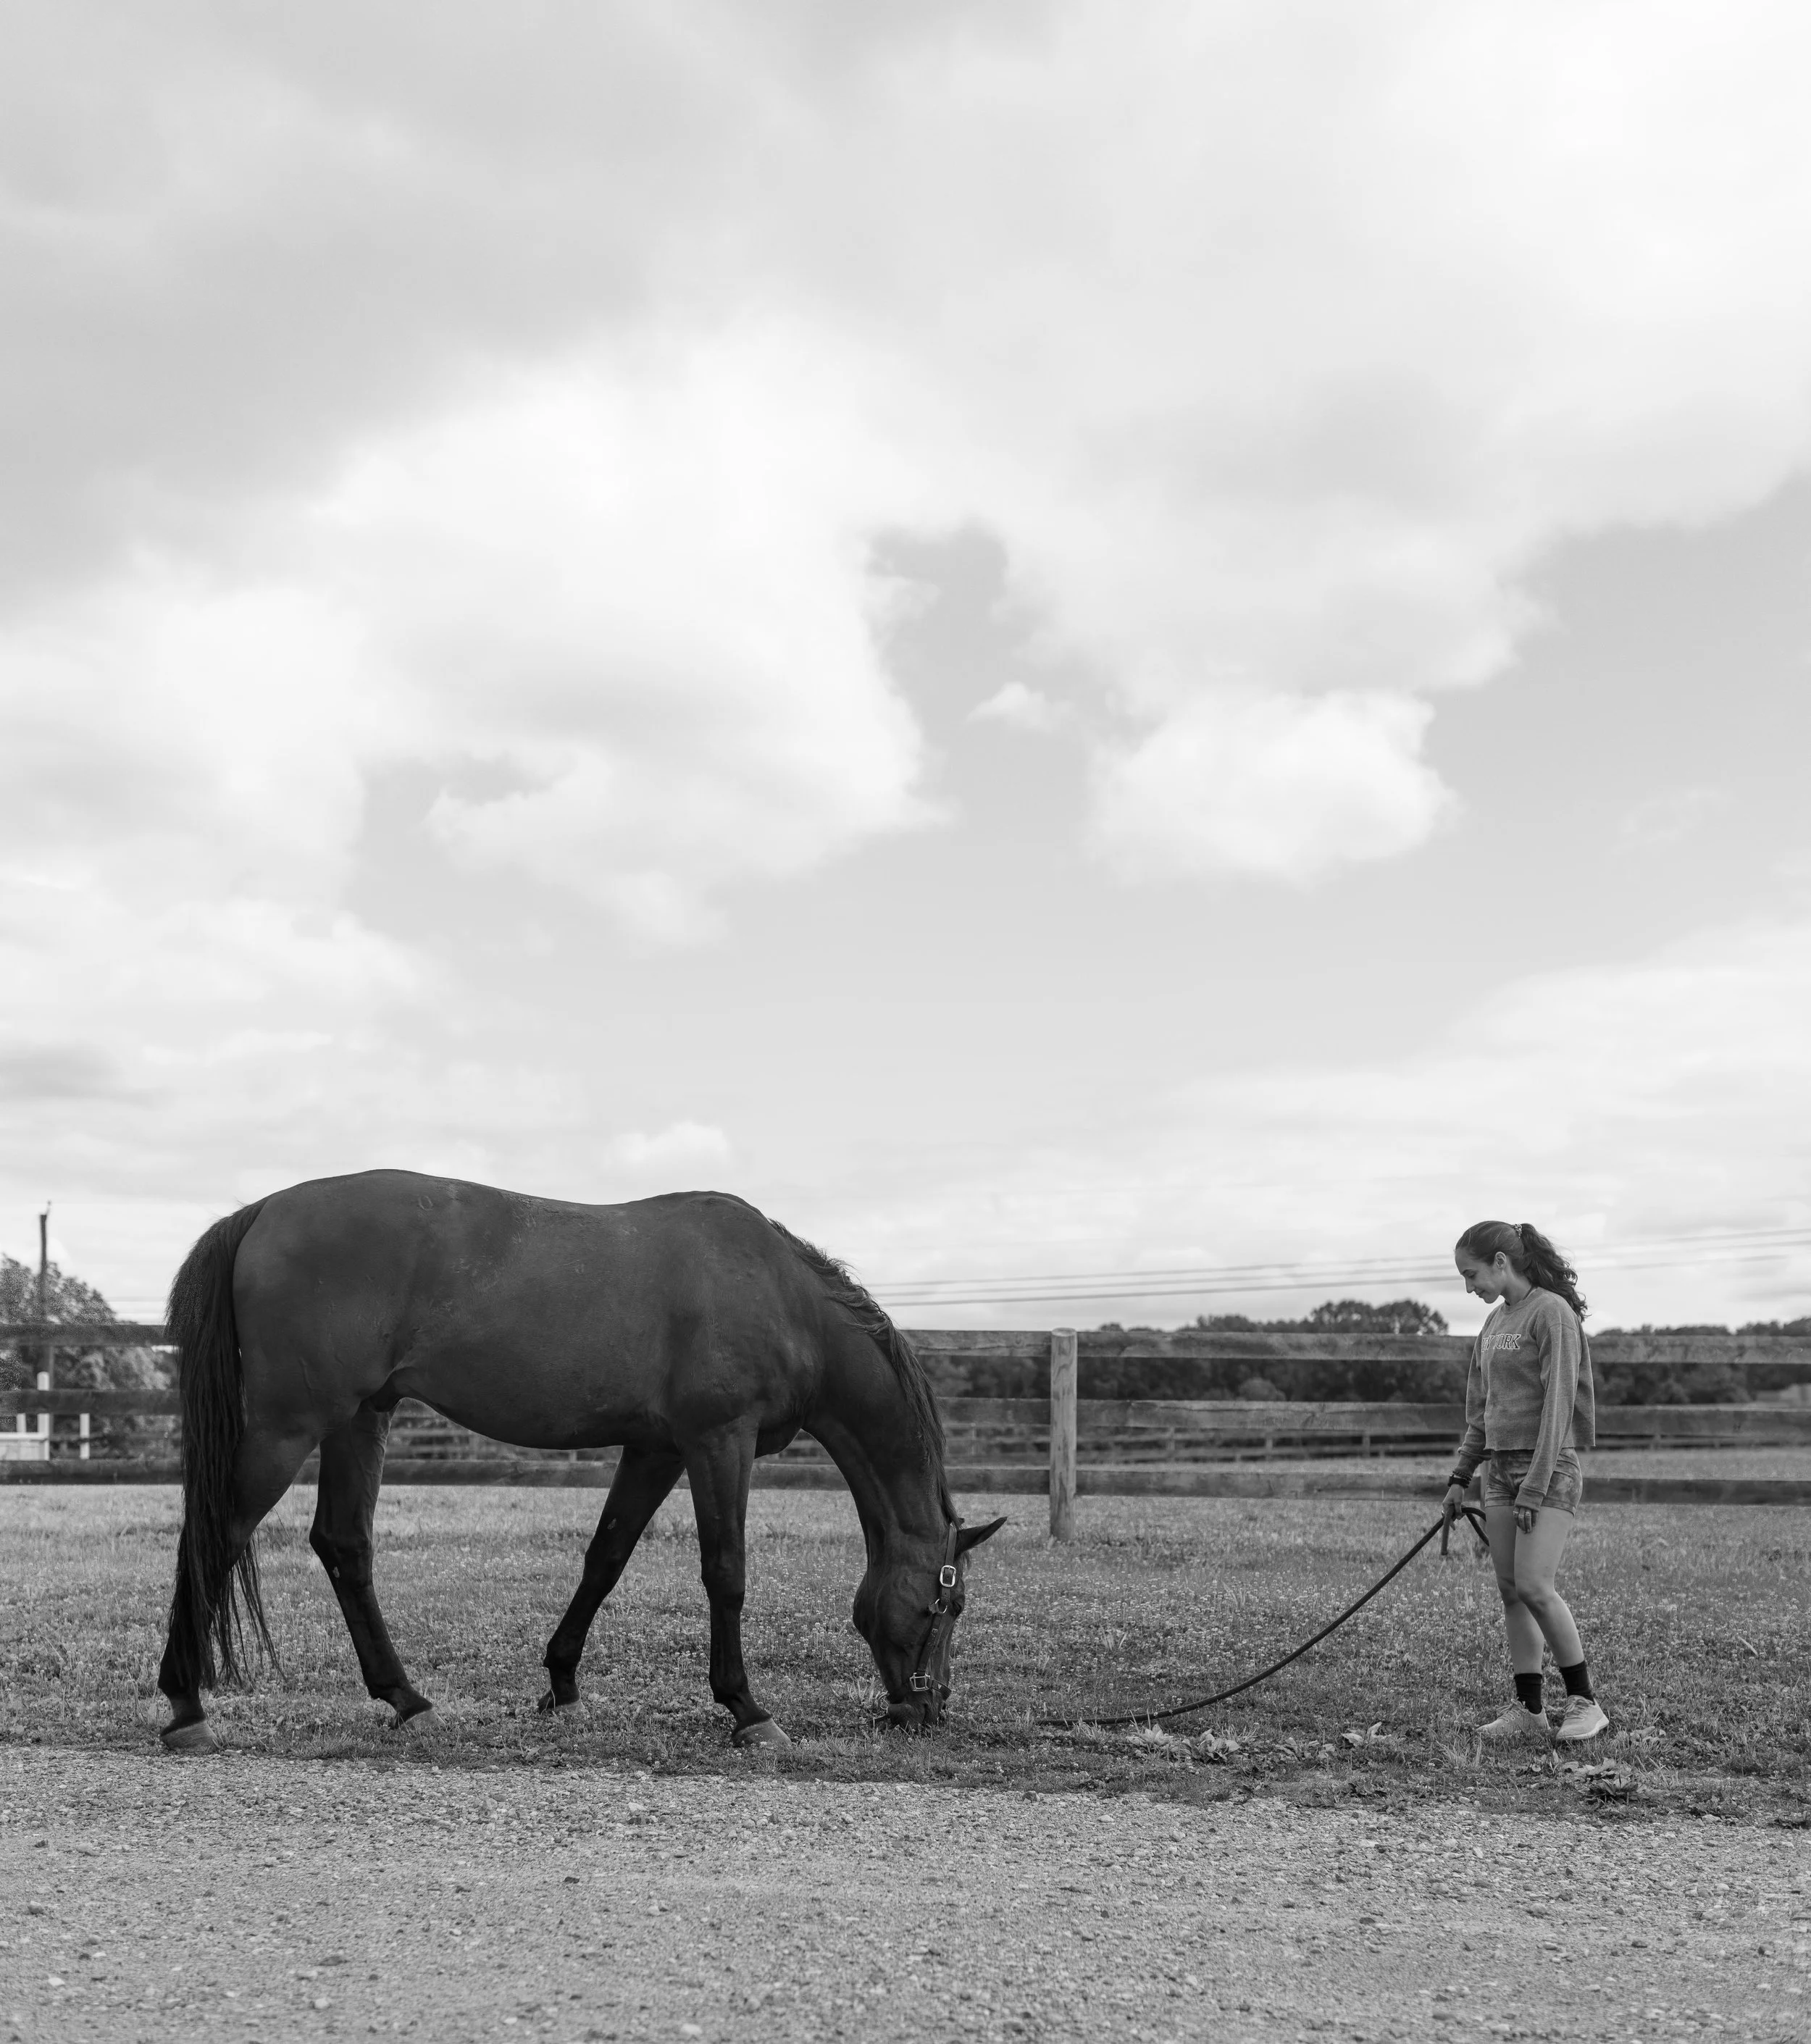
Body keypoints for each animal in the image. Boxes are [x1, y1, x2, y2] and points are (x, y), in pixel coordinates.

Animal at [156, 1169, 1003, 1753]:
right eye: (950, 1603)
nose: (928, 1708)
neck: (781, 1295)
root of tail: (262, 1211)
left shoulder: (656, 1448)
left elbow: (606, 1558)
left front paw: (562, 1683)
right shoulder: (718, 1442)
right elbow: (725, 1571)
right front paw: (748, 1710)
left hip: (361, 1419)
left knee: (342, 1545)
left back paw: (407, 1698)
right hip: (288, 1426)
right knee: (216, 1534)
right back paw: (186, 1707)